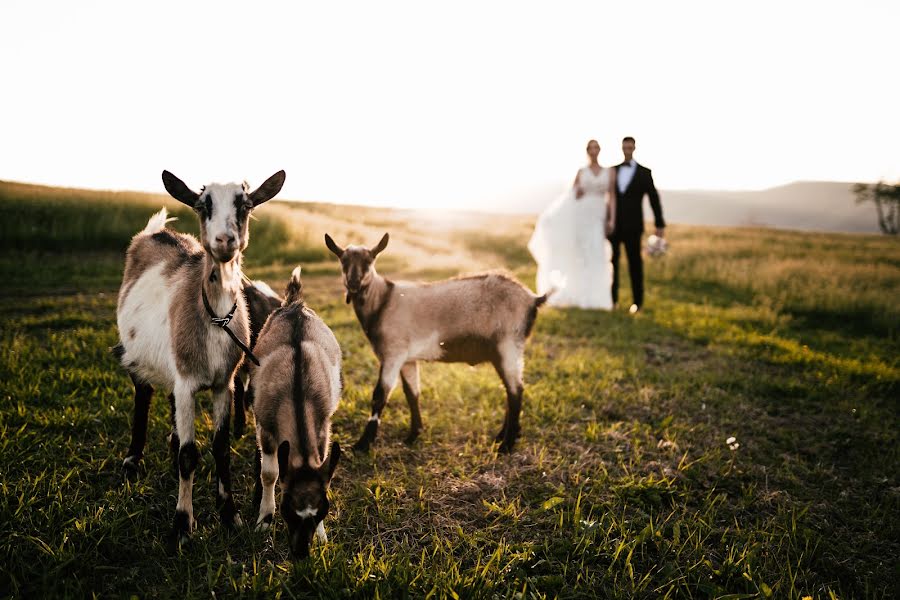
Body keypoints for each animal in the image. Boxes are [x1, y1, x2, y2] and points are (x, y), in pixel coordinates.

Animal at [114, 169, 284, 544]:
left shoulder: (223, 384)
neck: (215, 317)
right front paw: (182, 525)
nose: (224, 240)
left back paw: (171, 440)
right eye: (202, 205)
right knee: (143, 392)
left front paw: (229, 514)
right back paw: (133, 459)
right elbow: (190, 456)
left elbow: (220, 446)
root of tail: (156, 231)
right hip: (136, 353)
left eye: (245, 205)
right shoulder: (187, 383)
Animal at [250, 268, 342, 556]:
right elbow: (270, 473)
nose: (301, 553)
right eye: (287, 510)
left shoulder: (323, 428)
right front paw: (264, 519)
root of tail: (295, 304)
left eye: (323, 511)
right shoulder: (265, 426)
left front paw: (322, 536)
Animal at [322, 232, 548, 452]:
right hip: (503, 350)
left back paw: (506, 445)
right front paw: (414, 435)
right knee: (510, 389)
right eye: (343, 260)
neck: (382, 301)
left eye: (369, 261)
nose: (353, 283)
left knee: (515, 391)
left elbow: (380, 395)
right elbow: (412, 394)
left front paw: (363, 444)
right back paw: (505, 436)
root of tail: (533, 299)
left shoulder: (393, 354)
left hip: (509, 344)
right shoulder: (408, 359)